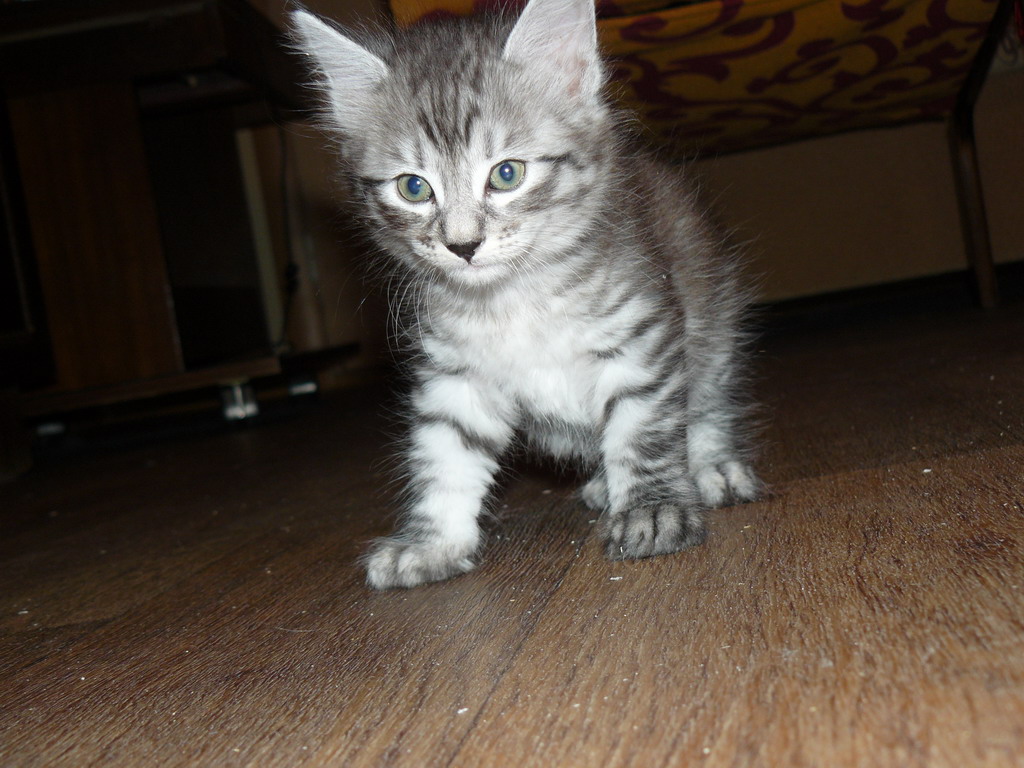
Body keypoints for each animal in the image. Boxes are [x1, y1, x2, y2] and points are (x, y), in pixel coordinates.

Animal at [289, 0, 762, 589]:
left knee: (707, 406)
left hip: (715, 325)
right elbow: (445, 457)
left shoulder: (641, 342)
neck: (511, 301)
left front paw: (652, 510)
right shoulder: (456, 379)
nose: (463, 245)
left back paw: (710, 468)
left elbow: (643, 435)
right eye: (413, 188)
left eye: (507, 174)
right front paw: (432, 542)